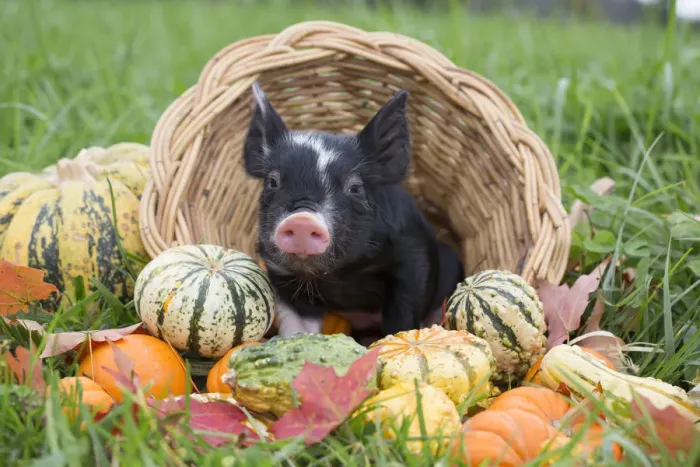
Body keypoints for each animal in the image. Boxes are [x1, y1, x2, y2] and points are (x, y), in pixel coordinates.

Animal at [242, 82, 464, 339]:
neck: (341, 277)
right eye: (272, 182)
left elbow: (403, 316)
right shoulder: (281, 275)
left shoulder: (413, 258)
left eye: (355, 187)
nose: (302, 219)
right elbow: (299, 322)